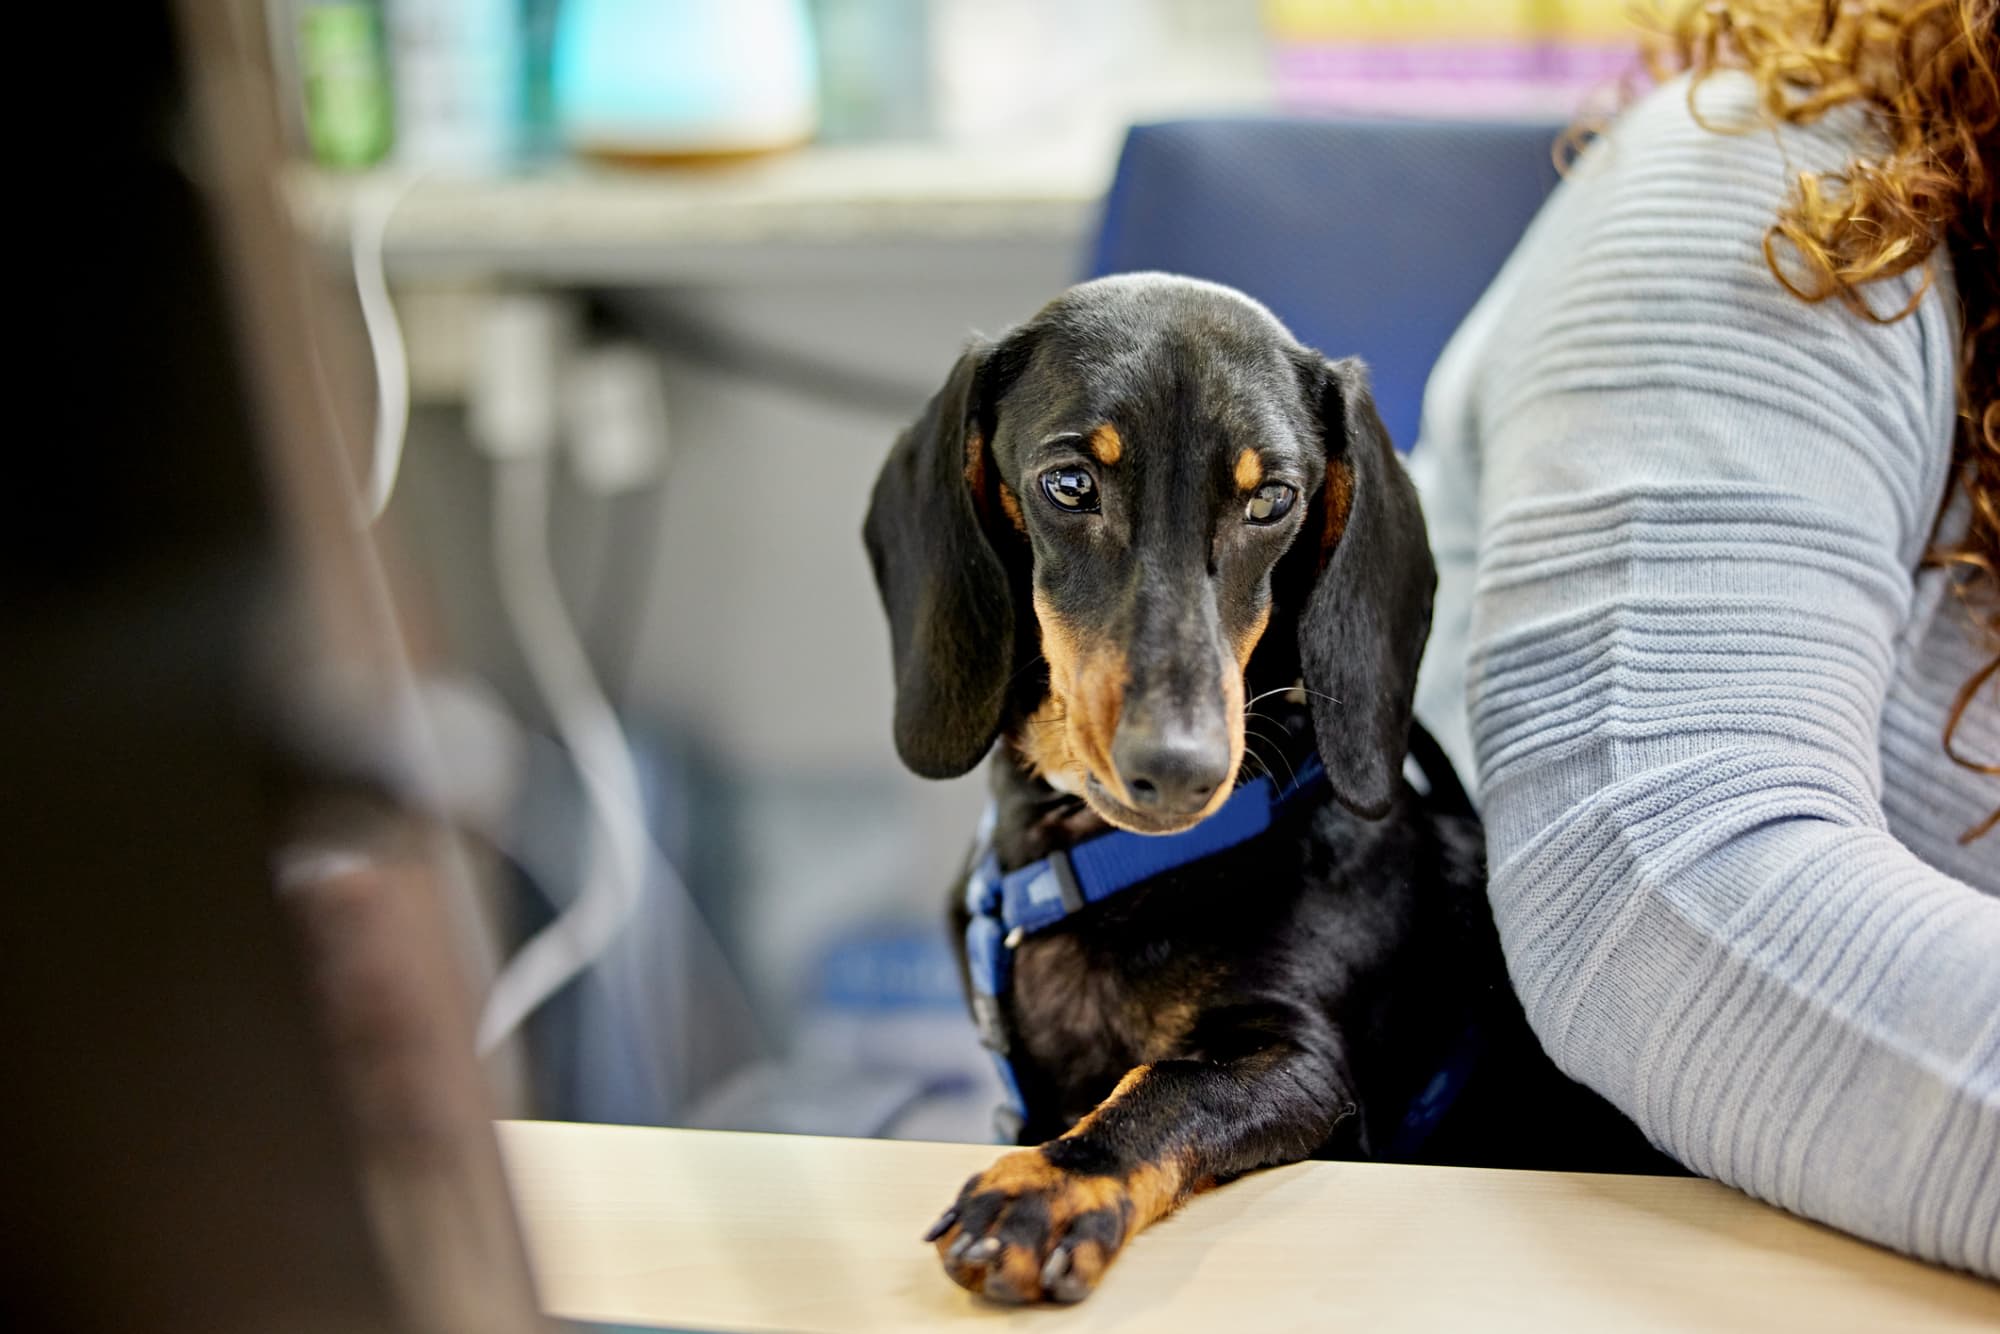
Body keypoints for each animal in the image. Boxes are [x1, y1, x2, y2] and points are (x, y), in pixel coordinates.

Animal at [860, 276, 1672, 1312]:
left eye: (1273, 499)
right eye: (1070, 483)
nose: (1181, 766)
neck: (1106, 866)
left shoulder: (1307, 1070)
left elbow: (1167, 1083)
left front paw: (1053, 1184)